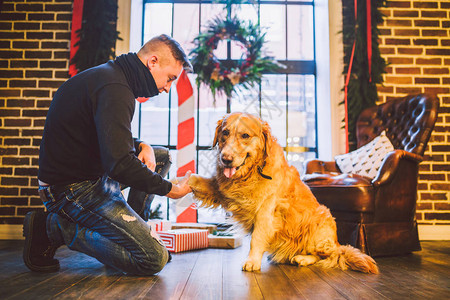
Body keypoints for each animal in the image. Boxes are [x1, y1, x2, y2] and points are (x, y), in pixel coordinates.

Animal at [188, 112, 378, 274]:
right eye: (225, 133)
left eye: (245, 136)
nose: (225, 159)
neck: (252, 172)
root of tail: (338, 243)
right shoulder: (220, 190)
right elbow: (196, 181)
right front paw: (183, 179)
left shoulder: (266, 211)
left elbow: (256, 238)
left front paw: (252, 261)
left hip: (318, 224)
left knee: (329, 255)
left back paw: (302, 258)